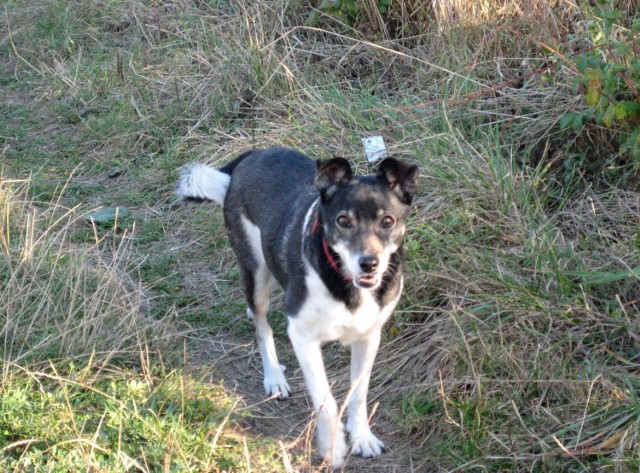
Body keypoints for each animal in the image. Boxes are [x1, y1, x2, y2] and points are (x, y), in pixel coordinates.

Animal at [178, 148, 418, 468]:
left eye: (388, 221)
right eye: (343, 220)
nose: (369, 263)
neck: (345, 283)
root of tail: (253, 155)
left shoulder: (369, 337)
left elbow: (358, 394)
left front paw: (362, 437)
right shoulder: (303, 337)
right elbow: (326, 399)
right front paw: (333, 447)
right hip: (255, 269)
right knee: (262, 324)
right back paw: (274, 377)